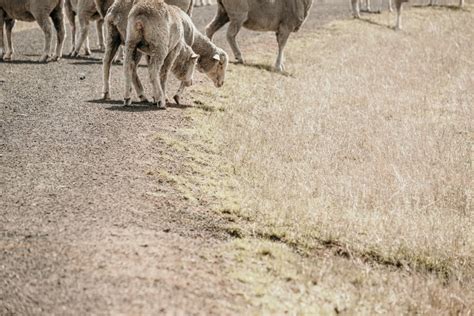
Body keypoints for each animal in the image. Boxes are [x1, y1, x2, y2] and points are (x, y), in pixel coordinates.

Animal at [100, 0, 228, 105]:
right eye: (221, 65)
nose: (221, 83)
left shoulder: (150, 52)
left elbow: (155, 73)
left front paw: (156, 95)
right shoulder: (175, 49)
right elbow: (164, 73)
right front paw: (172, 96)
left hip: (121, 39)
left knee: (113, 63)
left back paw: (115, 95)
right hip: (158, 45)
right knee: (148, 69)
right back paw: (156, 100)